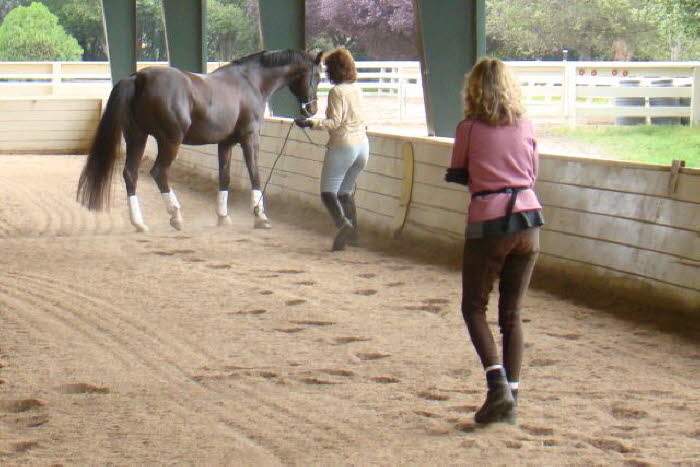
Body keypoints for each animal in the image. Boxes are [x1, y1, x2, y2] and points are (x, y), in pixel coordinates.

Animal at [76, 49, 322, 232]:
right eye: (318, 76)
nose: (311, 109)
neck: (250, 82)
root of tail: (138, 78)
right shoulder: (249, 137)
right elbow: (255, 174)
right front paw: (260, 217)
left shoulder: (225, 143)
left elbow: (225, 177)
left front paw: (223, 217)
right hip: (170, 140)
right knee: (159, 172)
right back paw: (175, 215)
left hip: (137, 137)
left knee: (130, 174)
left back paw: (139, 223)